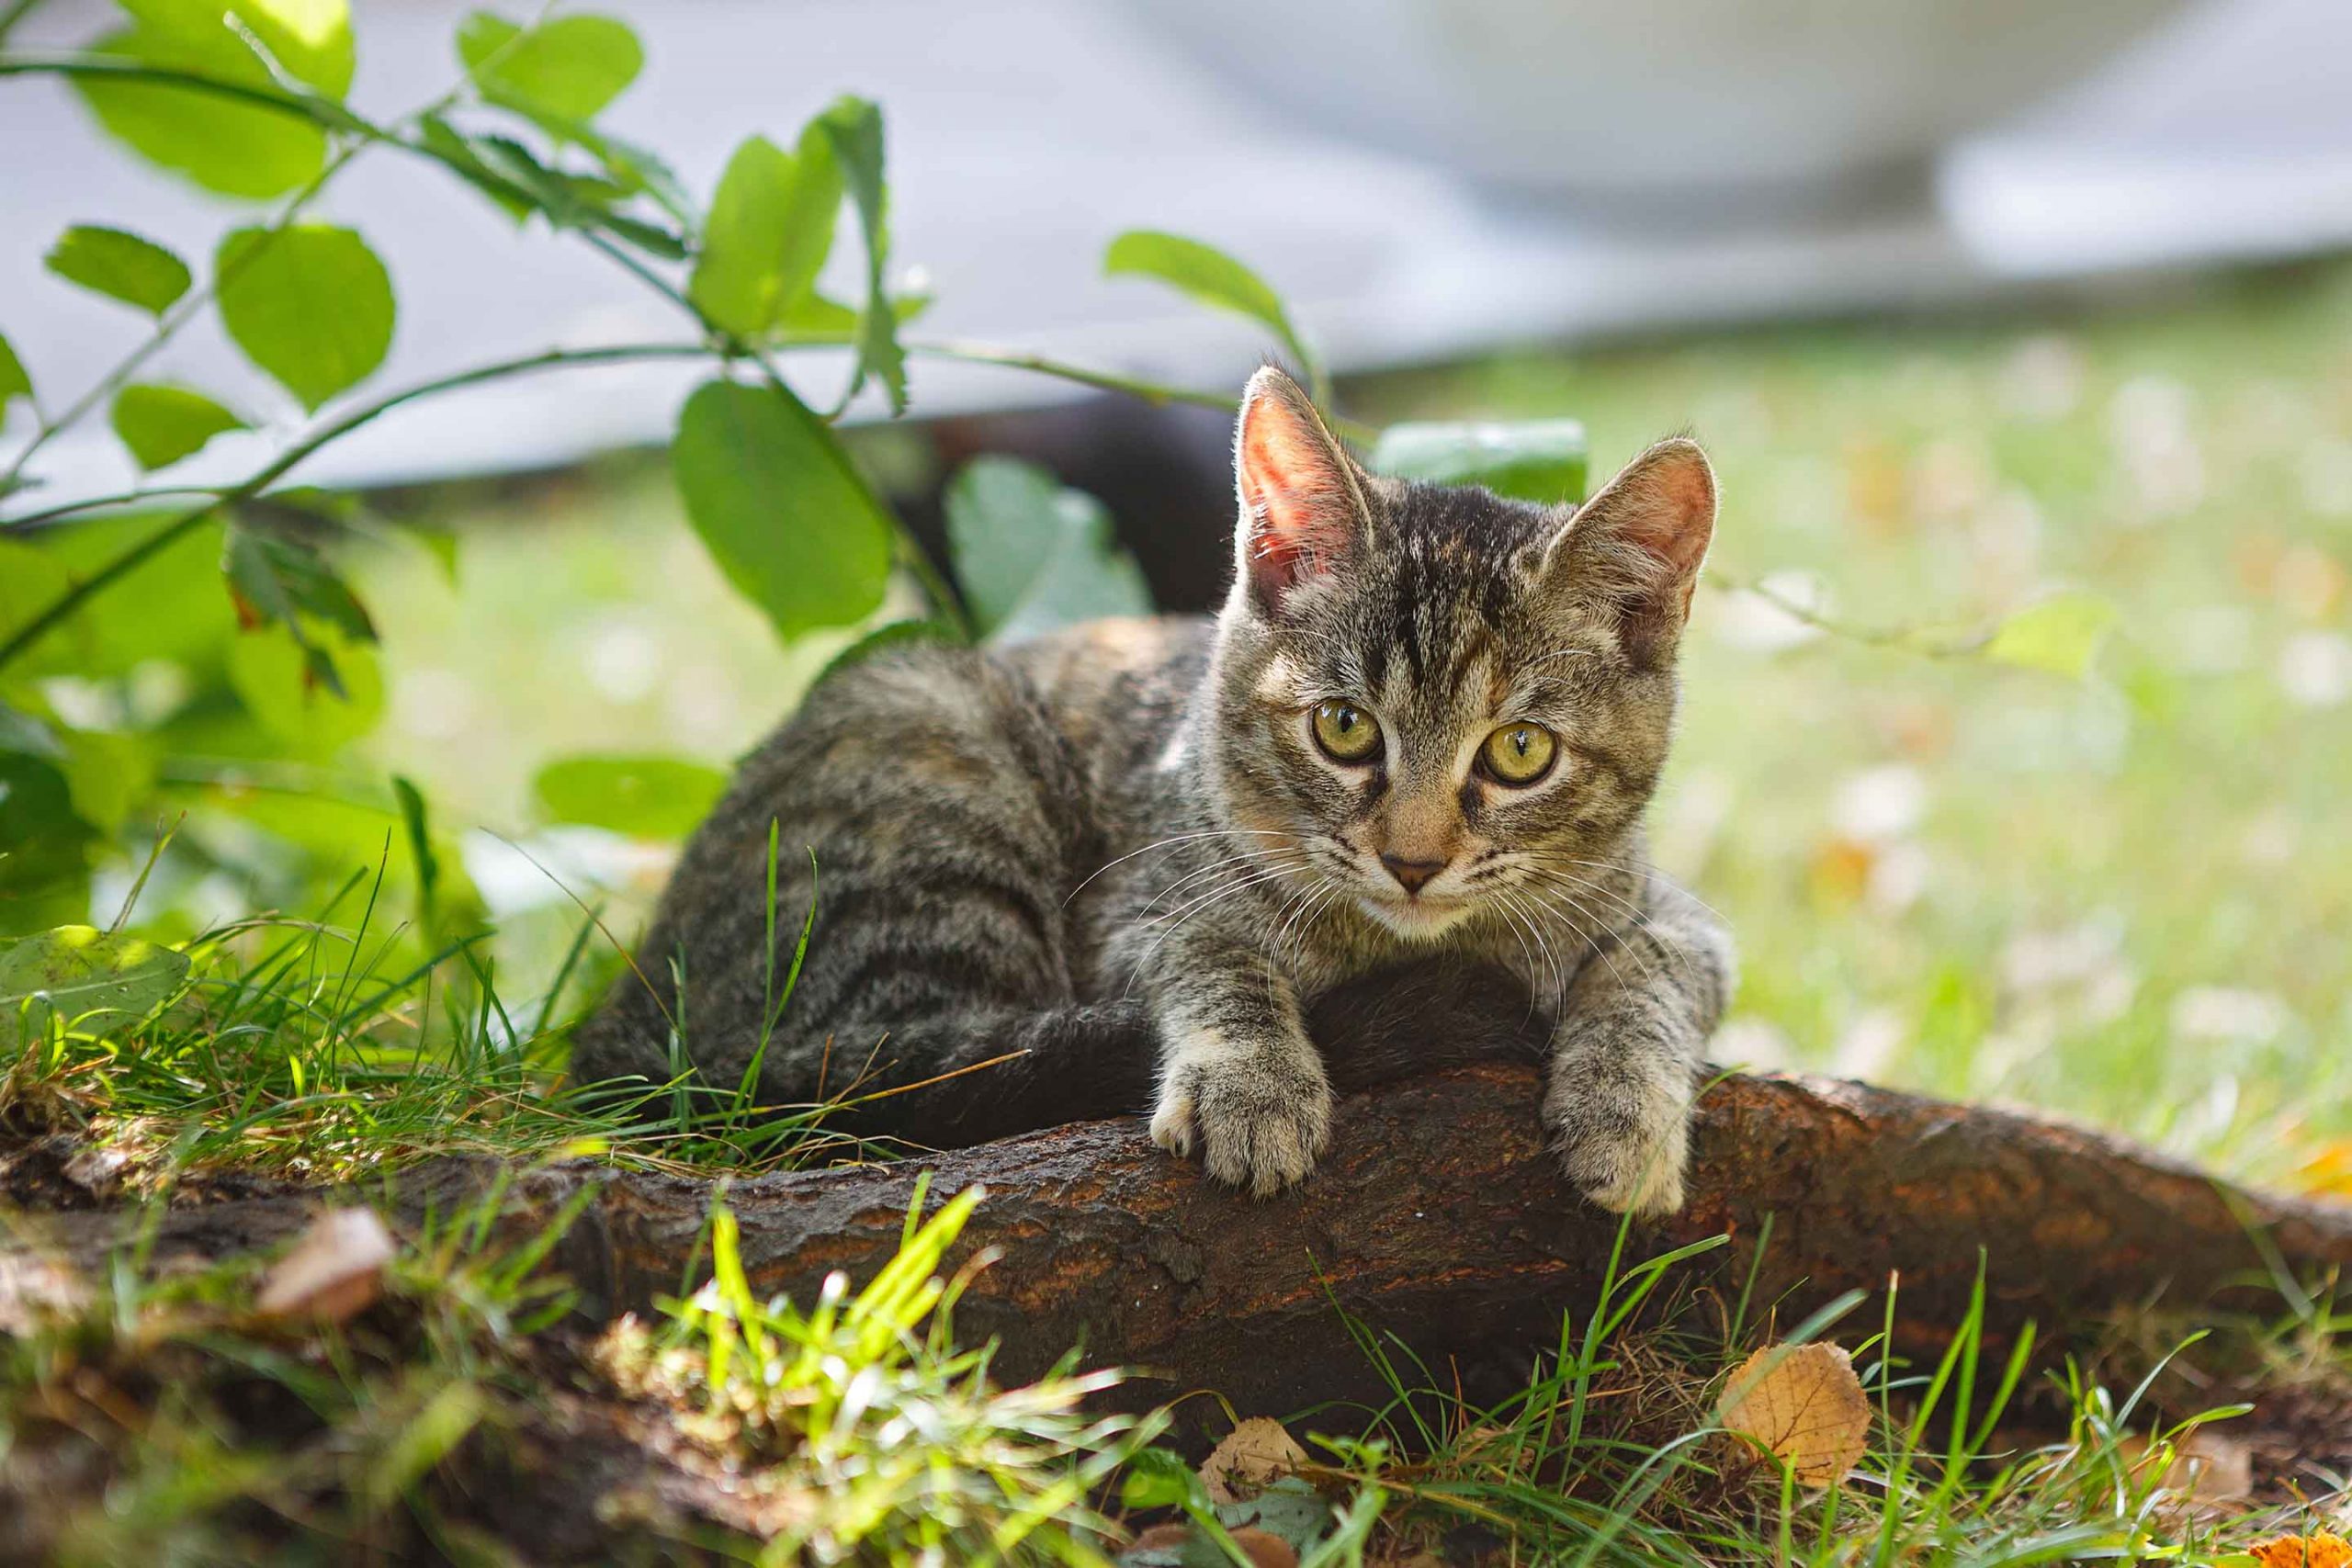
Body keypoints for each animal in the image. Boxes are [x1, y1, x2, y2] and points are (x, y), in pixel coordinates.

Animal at [578, 368, 1740, 1213]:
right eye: (1343, 728)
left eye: (1518, 754)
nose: (1412, 861)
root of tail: (632, 1003)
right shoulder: (1134, 907)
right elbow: (1210, 948)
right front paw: (1253, 1081)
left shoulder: (1671, 908)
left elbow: (1649, 963)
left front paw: (1625, 1110)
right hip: (927, 750)